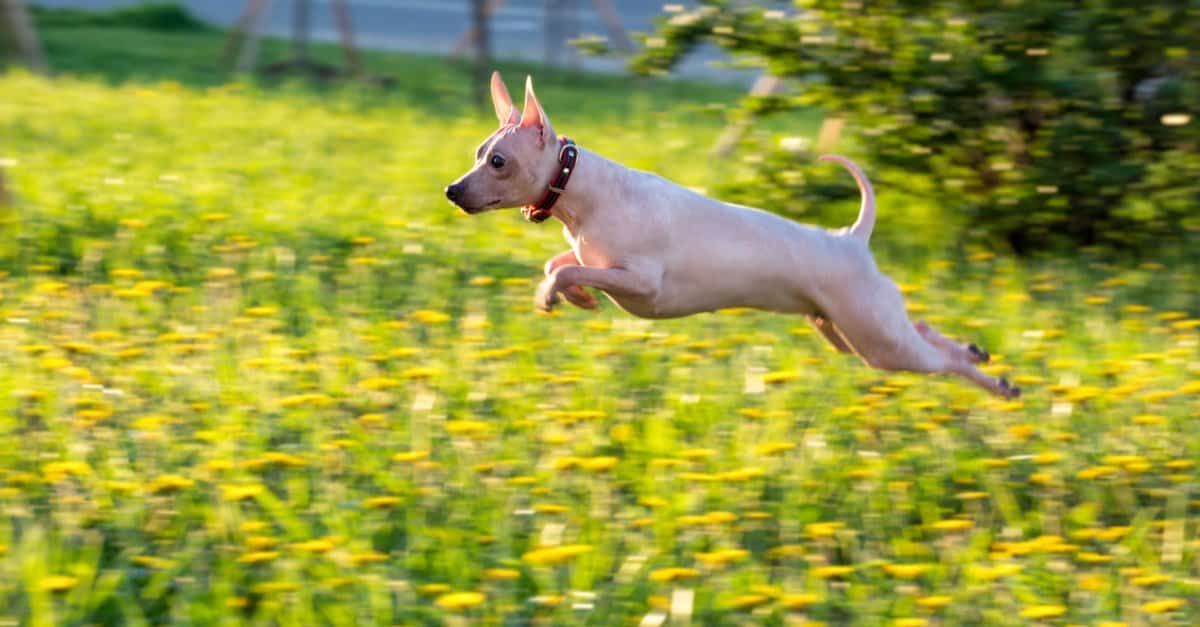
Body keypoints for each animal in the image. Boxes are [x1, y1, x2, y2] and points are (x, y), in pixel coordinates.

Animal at [448, 72, 1022, 396]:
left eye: (498, 162)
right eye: (478, 152)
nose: (452, 191)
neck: (586, 191)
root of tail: (851, 236)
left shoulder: (643, 284)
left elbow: (567, 272)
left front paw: (559, 295)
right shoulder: (597, 262)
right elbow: (561, 266)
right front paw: (576, 297)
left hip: (877, 341)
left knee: (940, 361)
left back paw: (996, 384)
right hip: (854, 335)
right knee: (922, 327)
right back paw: (975, 352)